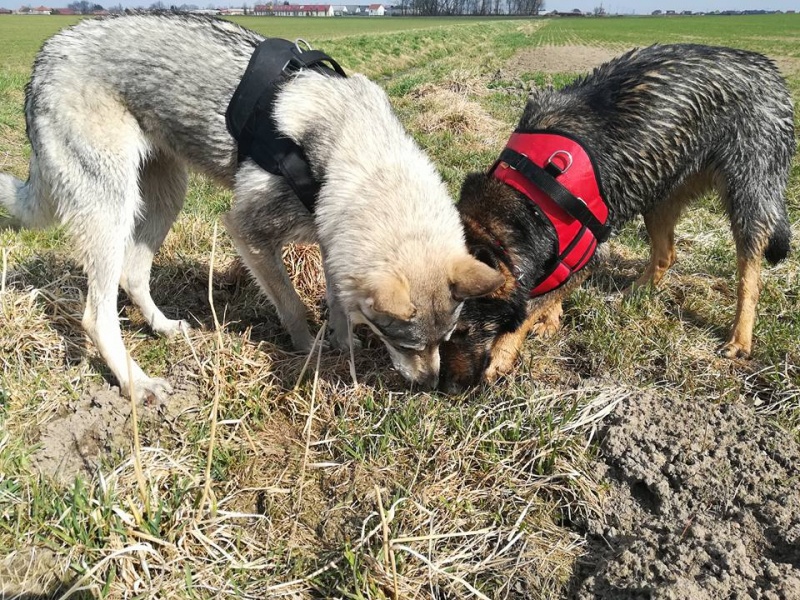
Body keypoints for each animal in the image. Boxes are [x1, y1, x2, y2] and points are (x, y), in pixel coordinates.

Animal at [0, 14, 500, 400]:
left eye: (445, 340)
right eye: (405, 342)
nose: (431, 385)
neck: (356, 150)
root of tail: (45, 57)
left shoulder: (331, 239)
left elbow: (339, 303)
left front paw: (344, 346)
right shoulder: (248, 232)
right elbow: (293, 305)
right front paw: (310, 350)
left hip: (164, 198)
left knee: (133, 274)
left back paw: (164, 328)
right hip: (113, 207)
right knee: (96, 314)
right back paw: (136, 384)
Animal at [438, 42, 792, 392]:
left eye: (464, 331)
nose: (448, 389)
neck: (528, 198)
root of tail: (765, 66)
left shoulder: (591, 253)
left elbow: (527, 311)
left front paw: (502, 356)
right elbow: (553, 289)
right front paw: (551, 317)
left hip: (749, 192)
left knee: (750, 275)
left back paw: (740, 338)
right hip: (659, 192)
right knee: (666, 254)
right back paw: (635, 293)